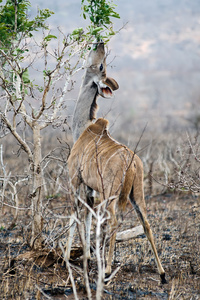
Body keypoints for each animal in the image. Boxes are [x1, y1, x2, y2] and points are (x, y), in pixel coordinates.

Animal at [66, 41, 166, 284]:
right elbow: (88, 217)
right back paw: (162, 274)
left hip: (112, 193)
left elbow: (74, 215)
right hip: (137, 193)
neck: (83, 127)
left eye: (101, 65)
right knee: (147, 223)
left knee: (113, 221)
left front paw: (67, 258)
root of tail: (132, 163)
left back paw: (108, 269)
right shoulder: (91, 189)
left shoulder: (75, 179)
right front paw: (88, 257)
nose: (100, 43)